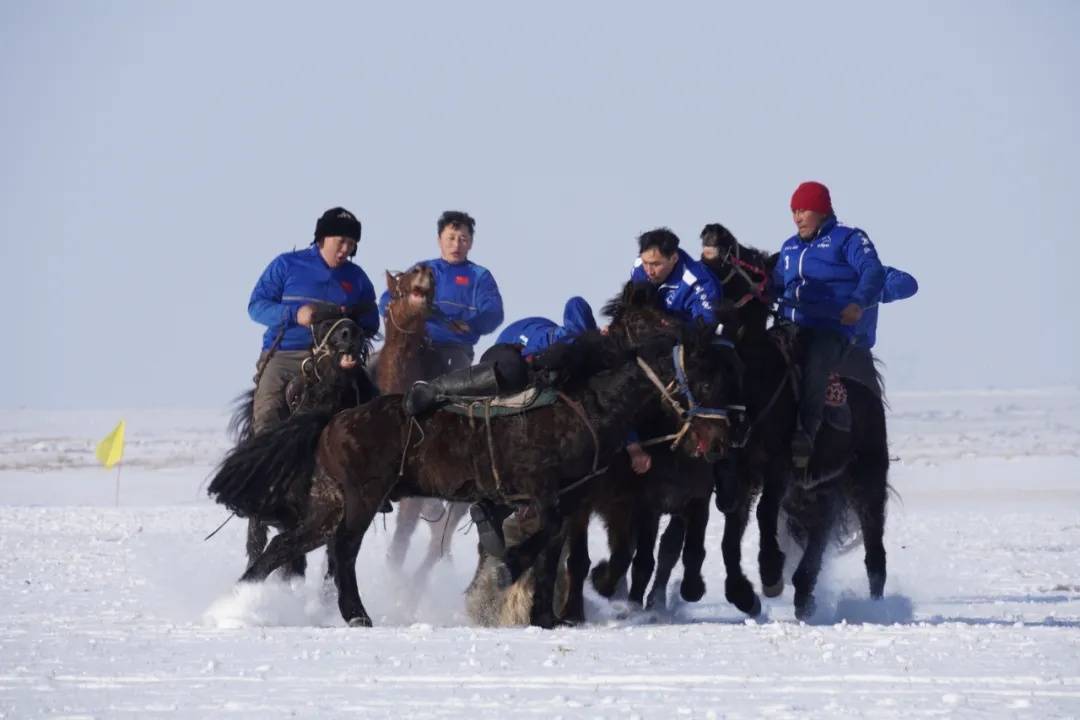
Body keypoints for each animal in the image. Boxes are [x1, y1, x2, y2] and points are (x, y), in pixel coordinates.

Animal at [206, 302, 738, 626]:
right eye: (704, 380)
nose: (717, 441)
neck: (582, 405)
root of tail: (334, 417)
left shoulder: (569, 503)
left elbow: (552, 557)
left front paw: (543, 616)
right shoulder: (541, 495)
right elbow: (535, 544)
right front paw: (505, 574)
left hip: (329, 505)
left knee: (283, 547)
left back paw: (238, 603)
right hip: (359, 502)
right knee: (342, 553)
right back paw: (355, 613)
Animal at [699, 223, 885, 621]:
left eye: (752, 259)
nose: (713, 230)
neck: (753, 382)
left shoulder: (778, 466)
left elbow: (765, 512)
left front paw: (770, 574)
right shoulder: (738, 475)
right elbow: (730, 534)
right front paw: (744, 595)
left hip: (867, 478)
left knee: (874, 549)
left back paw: (877, 607)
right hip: (822, 486)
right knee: (819, 533)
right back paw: (804, 594)